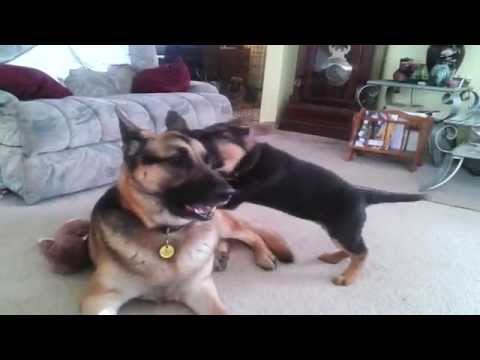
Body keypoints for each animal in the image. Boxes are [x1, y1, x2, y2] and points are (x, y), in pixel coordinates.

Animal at [167, 112, 426, 286]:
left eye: (217, 135)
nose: (191, 134)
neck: (250, 158)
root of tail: (362, 194)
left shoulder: (234, 196)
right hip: (338, 229)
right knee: (352, 250)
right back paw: (333, 257)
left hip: (343, 228)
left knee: (362, 252)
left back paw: (347, 277)